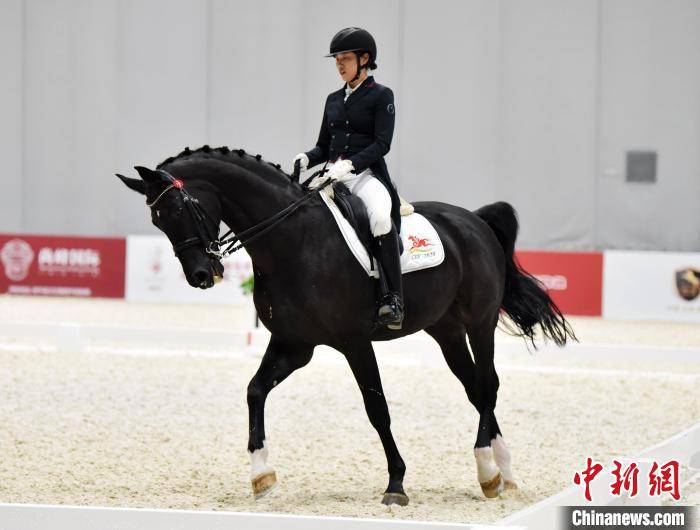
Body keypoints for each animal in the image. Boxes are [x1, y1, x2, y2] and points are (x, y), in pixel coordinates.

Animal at [116, 145, 575, 506]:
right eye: (158, 220)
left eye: (180, 208)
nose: (201, 275)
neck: (293, 240)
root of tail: (476, 221)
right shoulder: (294, 343)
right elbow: (255, 391)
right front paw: (261, 475)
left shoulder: (355, 342)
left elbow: (378, 409)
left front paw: (396, 484)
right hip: (445, 330)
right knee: (475, 389)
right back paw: (501, 475)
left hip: (480, 321)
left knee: (489, 385)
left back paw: (487, 468)